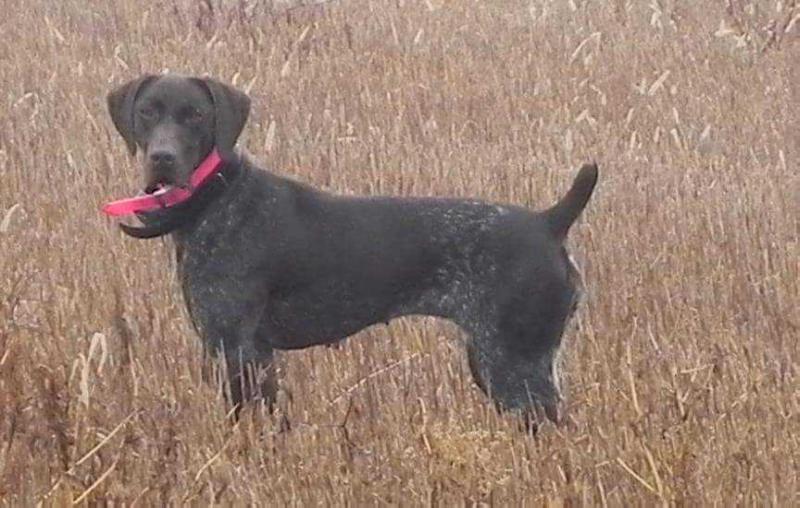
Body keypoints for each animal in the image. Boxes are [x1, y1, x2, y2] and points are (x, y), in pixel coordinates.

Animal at [104, 73, 592, 426]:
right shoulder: (257, 354)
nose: (162, 158)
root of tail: (548, 221)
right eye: (147, 112)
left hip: (511, 364)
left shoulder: (235, 349)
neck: (216, 197)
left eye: (196, 115)